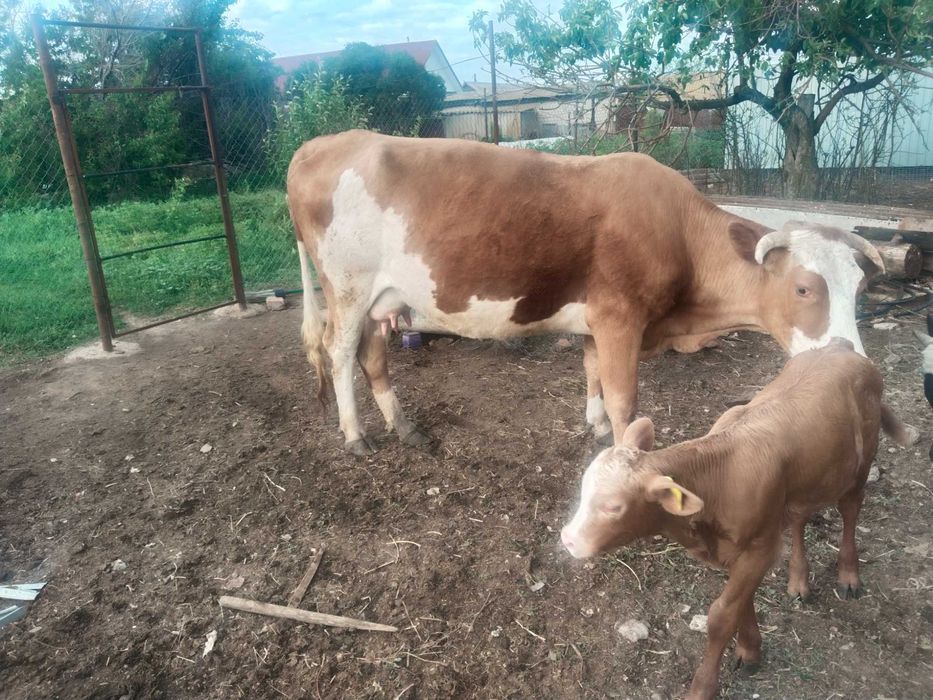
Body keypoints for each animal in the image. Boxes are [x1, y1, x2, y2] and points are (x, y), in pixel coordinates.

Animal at [286, 130, 885, 455]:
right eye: (804, 287)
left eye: (860, 286)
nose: (851, 361)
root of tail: (326, 143)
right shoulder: (622, 317)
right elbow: (625, 399)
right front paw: (622, 455)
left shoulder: (600, 319)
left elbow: (592, 369)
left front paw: (594, 425)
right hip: (347, 287)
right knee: (340, 354)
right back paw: (354, 434)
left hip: (379, 300)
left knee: (372, 355)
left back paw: (404, 426)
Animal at [560, 338, 916, 700]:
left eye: (613, 507)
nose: (568, 539)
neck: (718, 477)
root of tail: (840, 347)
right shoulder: (738, 548)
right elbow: (741, 603)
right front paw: (750, 649)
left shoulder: (759, 547)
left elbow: (722, 614)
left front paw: (703, 686)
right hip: (805, 481)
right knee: (800, 519)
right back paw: (799, 579)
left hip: (860, 463)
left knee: (850, 510)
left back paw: (848, 574)